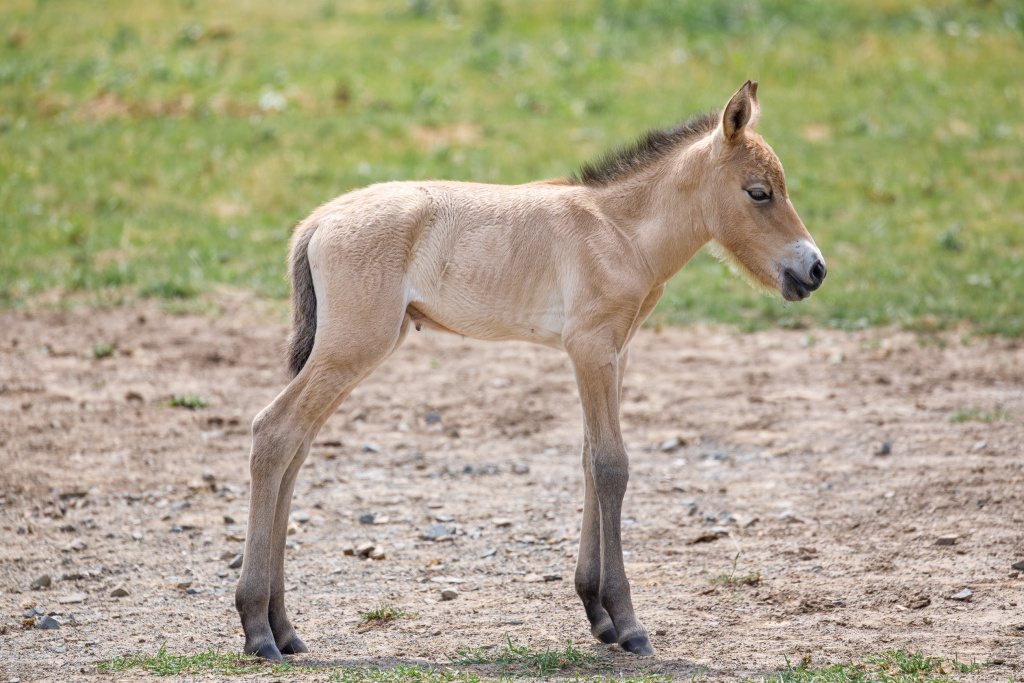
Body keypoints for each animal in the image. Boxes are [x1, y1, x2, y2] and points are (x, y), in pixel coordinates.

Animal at [237, 81, 823, 663]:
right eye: (758, 192)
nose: (815, 269)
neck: (620, 231)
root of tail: (318, 220)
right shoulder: (590, 348)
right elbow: (611, 466)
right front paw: (629, 623)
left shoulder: (615, 352)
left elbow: (589, 461)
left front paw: (598, 615)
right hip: (354, 346)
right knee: (274, 431)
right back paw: (258, 629)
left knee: (295, 447)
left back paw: (283, 628)